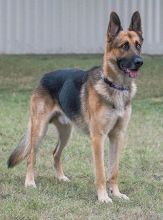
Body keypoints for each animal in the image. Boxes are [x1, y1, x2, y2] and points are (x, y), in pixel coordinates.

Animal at [7, 10, 143, 203]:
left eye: (138, 45)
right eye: (124, 46)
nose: (140, 62)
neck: (114, 86)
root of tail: (43, 77)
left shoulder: (118, 136)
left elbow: (114, 170)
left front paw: (116, 193)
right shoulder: (98, 138)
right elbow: (101, 172)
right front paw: (103, 197)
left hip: (66, 133)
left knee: (55, 153)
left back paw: (61, 178)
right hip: (39, 130)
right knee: (31, 157)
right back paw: (30, 182)